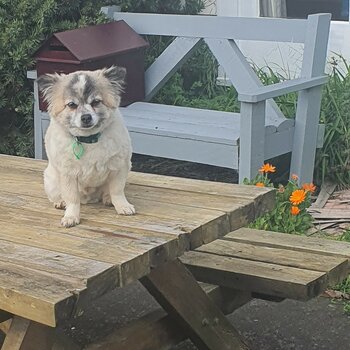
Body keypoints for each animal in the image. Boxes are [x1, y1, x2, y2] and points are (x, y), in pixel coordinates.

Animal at [38, 66, 135, 228]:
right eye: (72, 105)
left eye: (96, 102)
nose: (86, 117)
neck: (88, 139)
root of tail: (89, 199)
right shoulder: (68, 174)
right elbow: (72, 199)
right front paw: (71, 216)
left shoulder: (119, 167)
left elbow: (117, 191)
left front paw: (122, 206)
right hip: (51, 181)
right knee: (60, 196)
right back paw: (60, 202)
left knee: (107, 192)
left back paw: (108, 199)